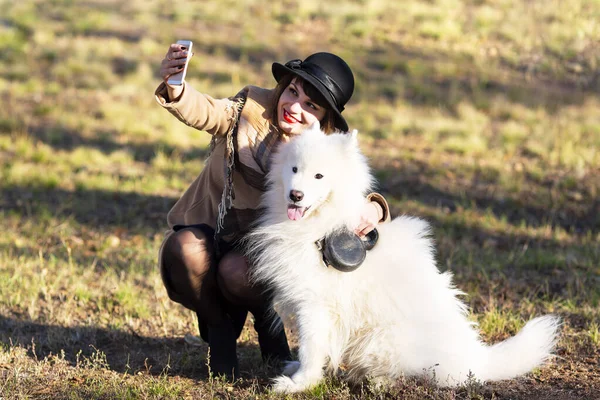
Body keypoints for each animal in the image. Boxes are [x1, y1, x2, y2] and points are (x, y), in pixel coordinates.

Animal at [243, 123, 556, 392]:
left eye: (319, 176)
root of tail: (478, 360)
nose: (295, 195)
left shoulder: (315, 306)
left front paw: (299, 383)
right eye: (294, 169)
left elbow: (311, 348)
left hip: (383, 339)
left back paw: (379, 380)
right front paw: (297, 372)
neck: (321, 226)